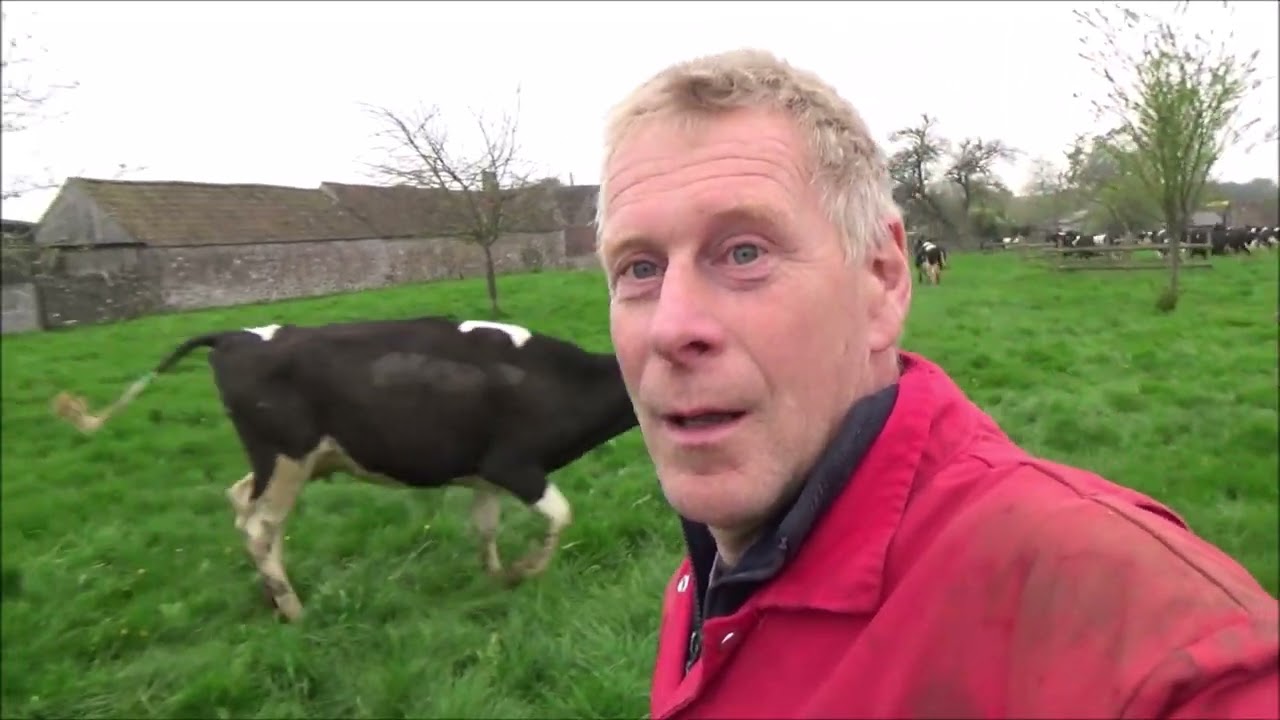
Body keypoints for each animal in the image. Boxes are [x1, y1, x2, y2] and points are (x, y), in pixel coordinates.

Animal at [50, 316, 640, 622]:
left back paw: (272, 593)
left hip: (286, 462)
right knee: (260, 525)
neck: (557, 380)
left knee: (243, 504)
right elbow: (562, 515)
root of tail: (234, 335)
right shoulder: (513, 464)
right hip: (287, 456)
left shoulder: (483, 474)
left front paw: (497, 578)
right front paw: (525, 571)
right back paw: (293, 610)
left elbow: (486, 529)